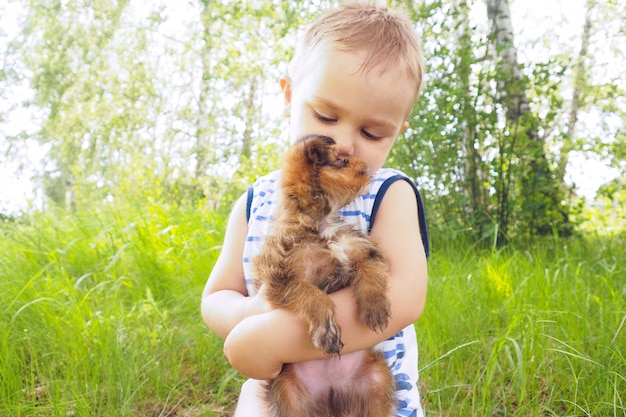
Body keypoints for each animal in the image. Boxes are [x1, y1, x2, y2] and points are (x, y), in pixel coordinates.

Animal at [251, 135, 392, 414]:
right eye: (341, 160)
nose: (365, 164)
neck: (322, 223)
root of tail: (331, 392)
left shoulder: (363, 252)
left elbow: (371, 273)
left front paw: (375, 306)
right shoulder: (282, 281)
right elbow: (313, 295)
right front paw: (327, 329)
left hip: (378, 380)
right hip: (288, 395)